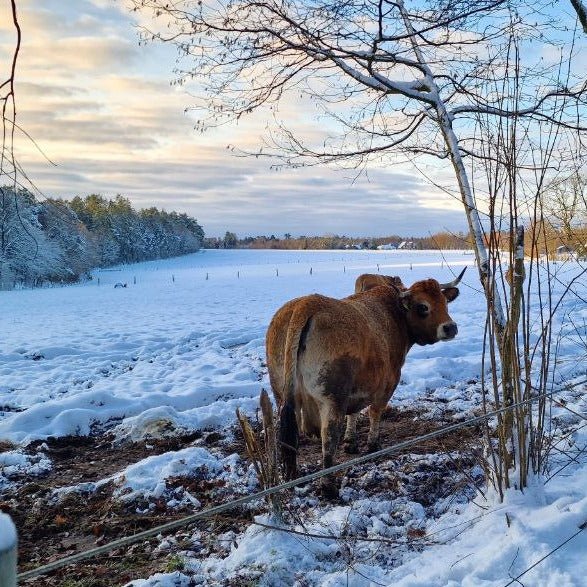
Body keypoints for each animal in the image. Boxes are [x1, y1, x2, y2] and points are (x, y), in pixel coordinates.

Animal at [266, 270, 464, 496]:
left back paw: (293, 477)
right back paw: (328, 486)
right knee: (328, 438)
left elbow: (354, 413)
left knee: (288, 437)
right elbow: (374, 412)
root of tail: (305, 304)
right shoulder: (387, 384)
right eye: (423, 306)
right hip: (332, 400)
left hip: (281, 394)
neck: (395, 314)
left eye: (445, 303)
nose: (450, 328)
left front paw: (351, 442)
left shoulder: (358, 386)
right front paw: (373, 445)